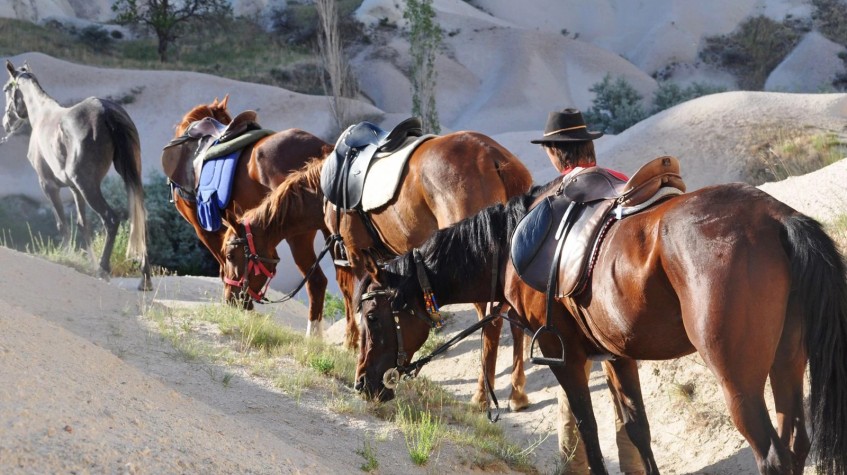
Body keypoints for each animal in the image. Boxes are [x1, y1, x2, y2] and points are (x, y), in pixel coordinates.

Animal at [2, 60, 151, 290]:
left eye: (6, 89)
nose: (6, 122)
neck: (43, 115)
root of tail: (106, 111)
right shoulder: (74, 189)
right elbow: (83, 225)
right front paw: (87, 262)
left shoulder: (49, 186)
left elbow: (62, 224)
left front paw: (69, 258)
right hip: (117, 180)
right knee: (140, 218)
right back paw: (145, 278)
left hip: (88, 186)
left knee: (111, 219)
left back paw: (103, 269)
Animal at [222, 130, 535, 409]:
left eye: (230, 254)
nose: (230, 299)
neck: (326, 184)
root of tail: (495, 158)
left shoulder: (354, 252)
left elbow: (351, 296)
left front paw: (351, 342)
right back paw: (517, 393)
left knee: (491, 324)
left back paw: (482, 395)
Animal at [354, 180, 847, 474]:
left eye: (373, 317)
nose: (363, 383)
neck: (511, 244)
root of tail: (777, 219)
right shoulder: (616, 357)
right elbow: (636, 430)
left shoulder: (566, 360)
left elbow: (589, 431)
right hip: (786, 365)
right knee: (796, 442)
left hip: (738, 383)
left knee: (773, 455)